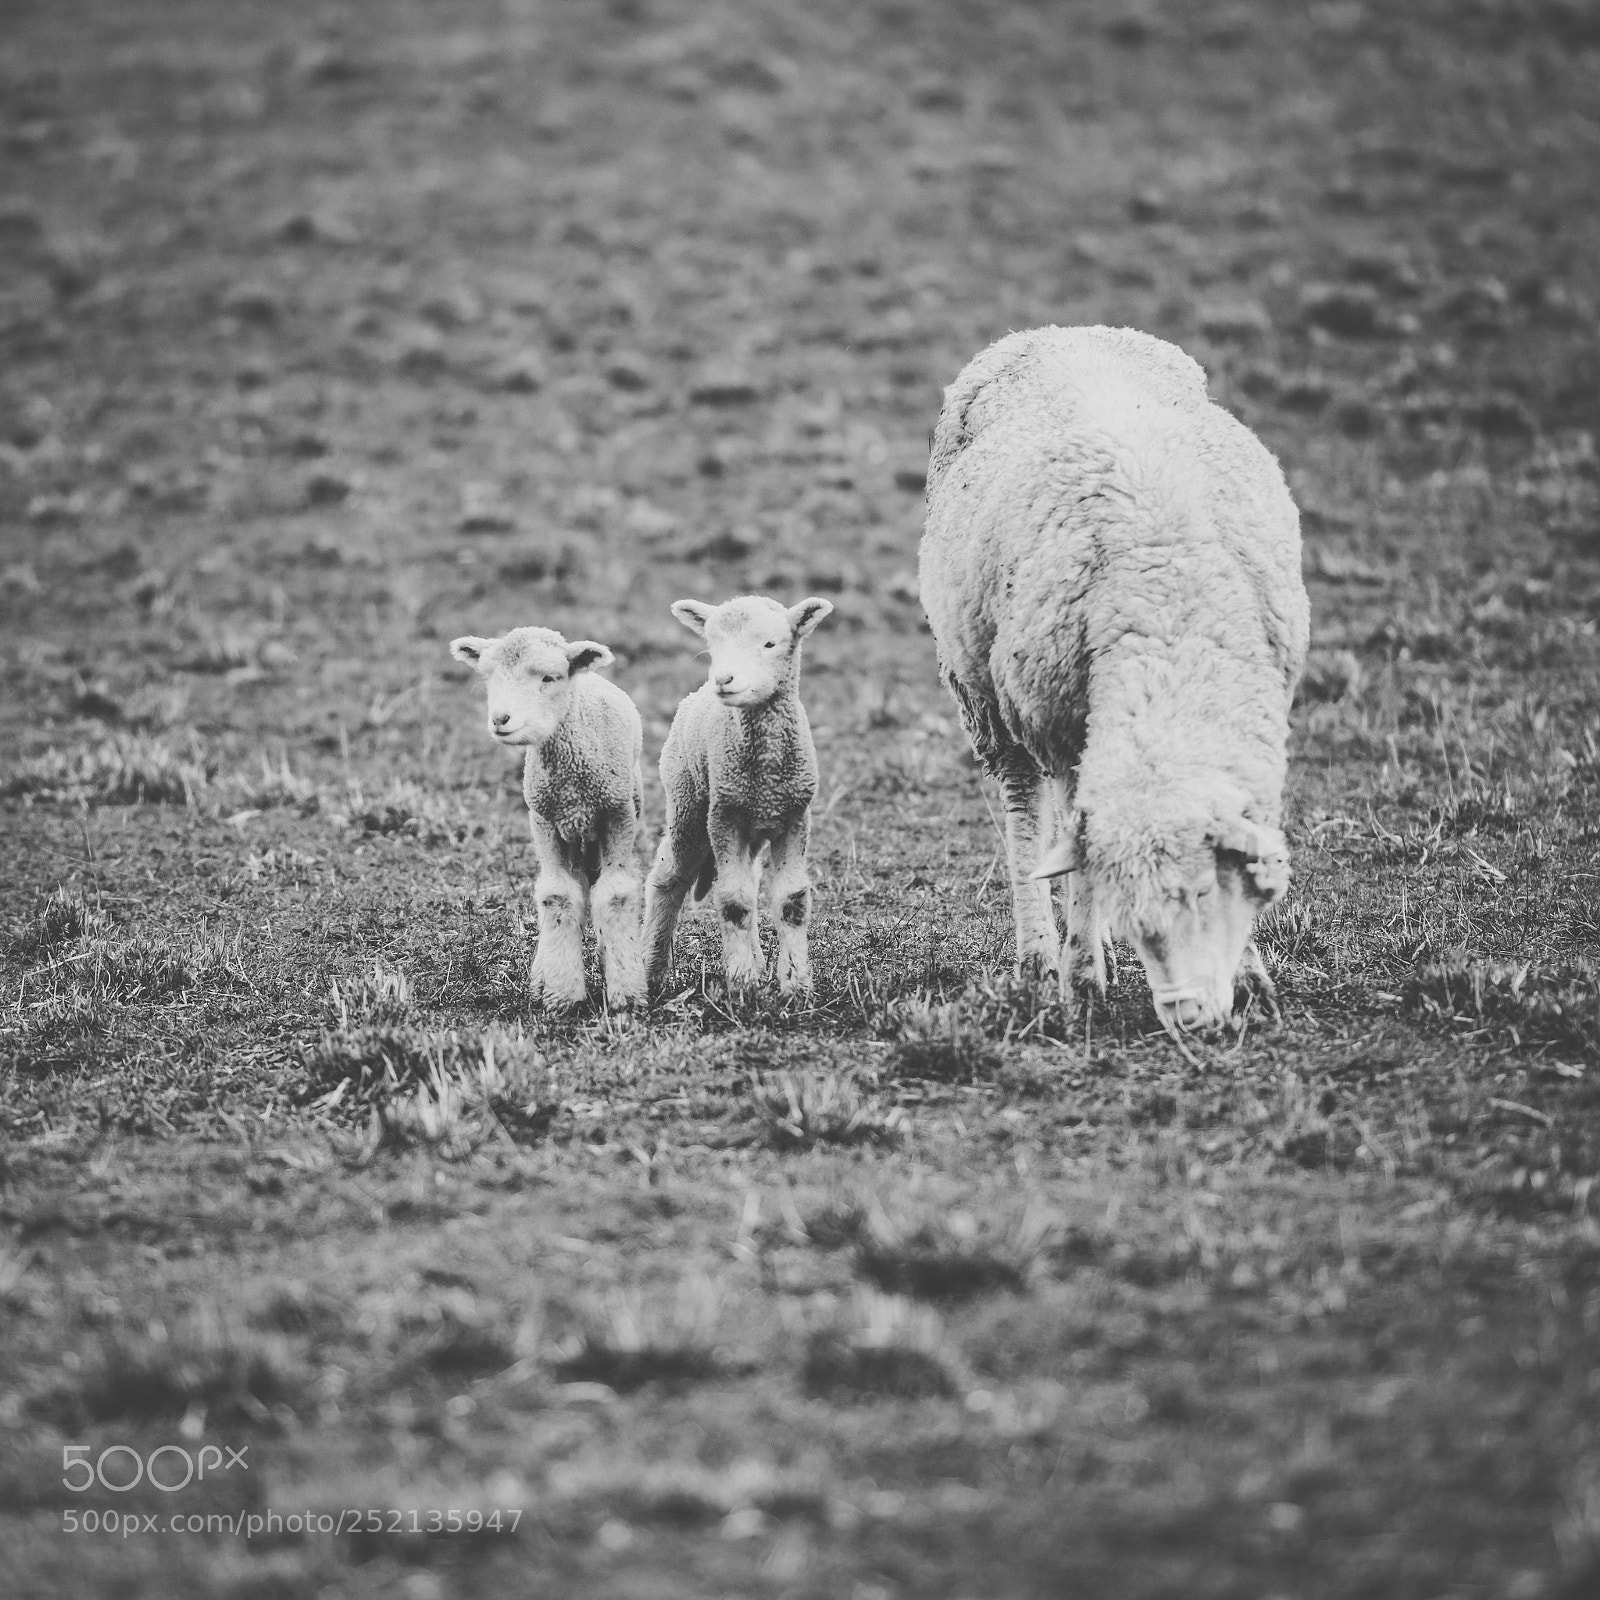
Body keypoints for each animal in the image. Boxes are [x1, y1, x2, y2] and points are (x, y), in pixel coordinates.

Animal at [449, 626, 646, 1009]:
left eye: (548, 678)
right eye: (489, 677)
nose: (500, 719)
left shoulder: (617, 816)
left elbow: (615, 895)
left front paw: (627, 992)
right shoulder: (544, 821)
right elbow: (558, 895)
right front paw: (561, 993)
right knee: (576, 886)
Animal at [643, 594, 834, 998]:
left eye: (770, 644)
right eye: (713, 645)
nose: (724, 679)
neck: (766, 773)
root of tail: (696, 693)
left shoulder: (795, 817)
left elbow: (791, 901)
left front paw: (797, 985)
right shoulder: (724, 817)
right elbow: (733, 902)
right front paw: (742, 983)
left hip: (748, 827)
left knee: (750, 880)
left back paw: (758, 959)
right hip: (688, 807)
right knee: (669, 877)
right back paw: (651, 968)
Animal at [919, 324, 1310, 1043]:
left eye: (1204, 892)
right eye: (1138, 916)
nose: (1187, 1016)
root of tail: (1053, 330)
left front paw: (1250, 977)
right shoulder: (1059, 724)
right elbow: (1081, 867)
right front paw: (1082, 979)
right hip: (991, 696)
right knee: (1025, 811)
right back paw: (1042, 955)